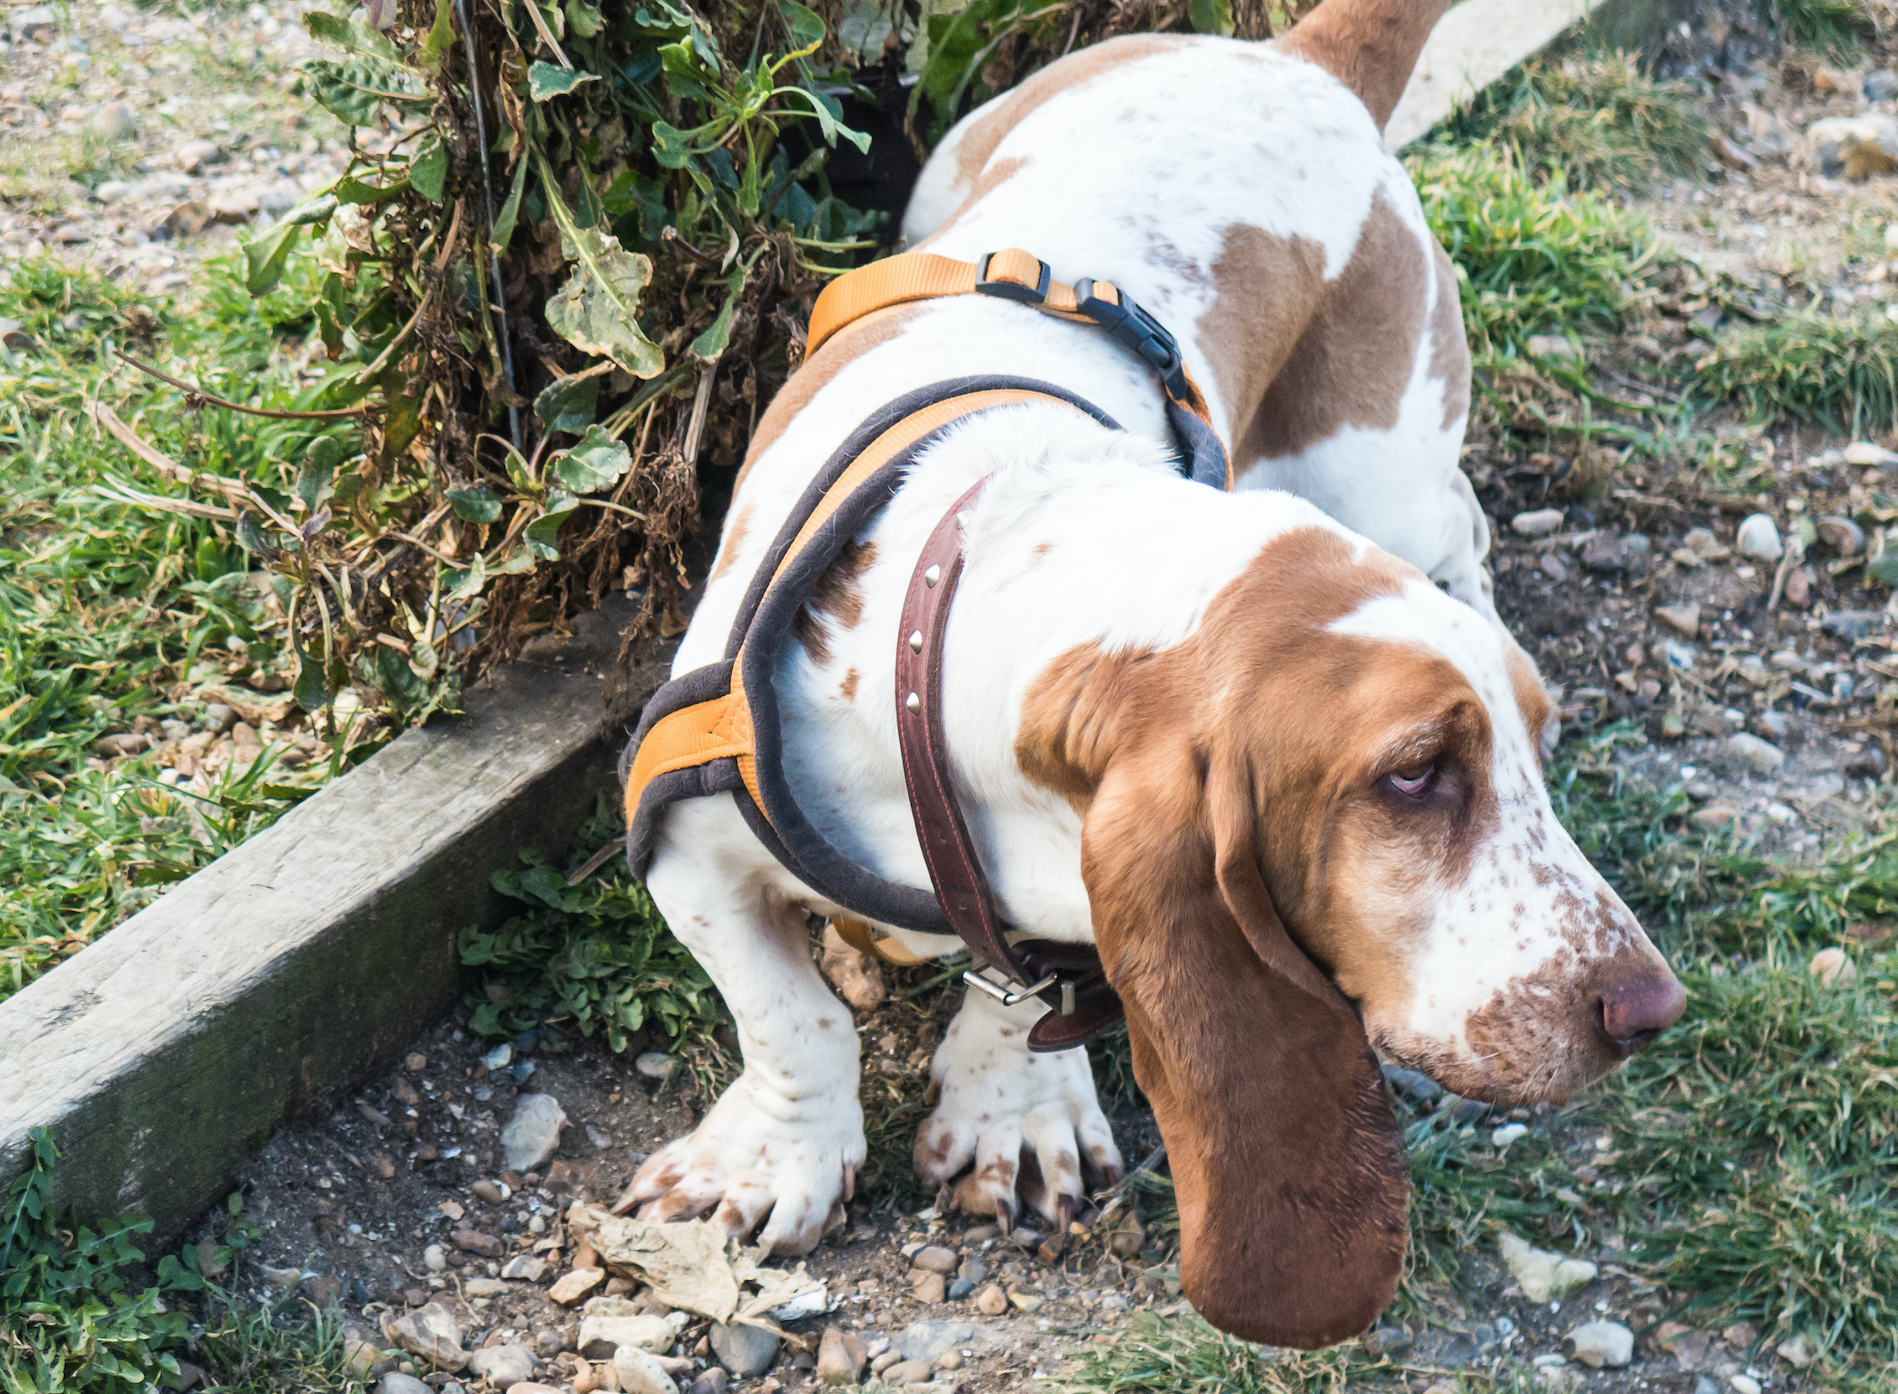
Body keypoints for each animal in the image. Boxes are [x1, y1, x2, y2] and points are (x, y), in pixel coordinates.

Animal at [614, 0, 1685, 1352]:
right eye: (1412, 774)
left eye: (1529, 756)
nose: (1648, 1009)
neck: (946, 612)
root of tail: (1296, 61)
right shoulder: (685, 842)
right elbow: (791, 1017)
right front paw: (768, 1167)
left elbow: (1016, 989)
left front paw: (1012, 1111)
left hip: (1379, 465)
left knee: (1458, 519)